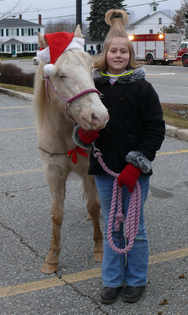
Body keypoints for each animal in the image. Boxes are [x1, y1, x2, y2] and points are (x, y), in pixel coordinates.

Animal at [33, 25, 108, 276]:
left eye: (91, 68)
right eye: (61, 75)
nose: (100, 117)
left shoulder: (88, 170)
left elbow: (94, 206)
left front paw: (99, 249)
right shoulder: (54, 172)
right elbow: (57, 214)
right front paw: (52, 259)